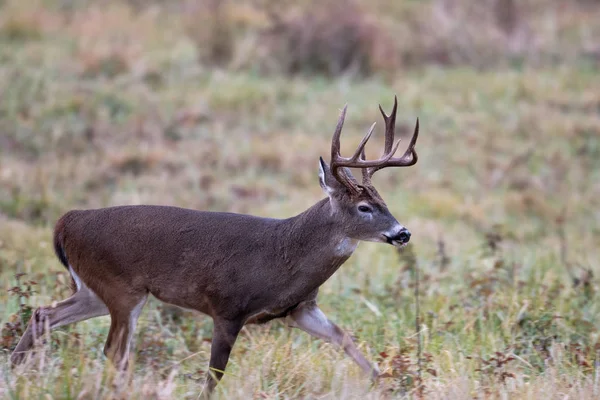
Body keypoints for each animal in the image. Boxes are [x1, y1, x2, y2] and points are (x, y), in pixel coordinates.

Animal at [10, 96, 422, 394]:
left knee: (43, 314)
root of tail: (66, 222)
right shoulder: (227, 306)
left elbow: (343, 337)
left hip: (94, 288)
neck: (285, 255)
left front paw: (386, 383)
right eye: (364, 207)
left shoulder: (300, 307)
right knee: (114, 351)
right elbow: (214, 374)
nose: (402, 233)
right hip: (122, 288)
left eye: (384, 200)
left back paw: (13, 371)